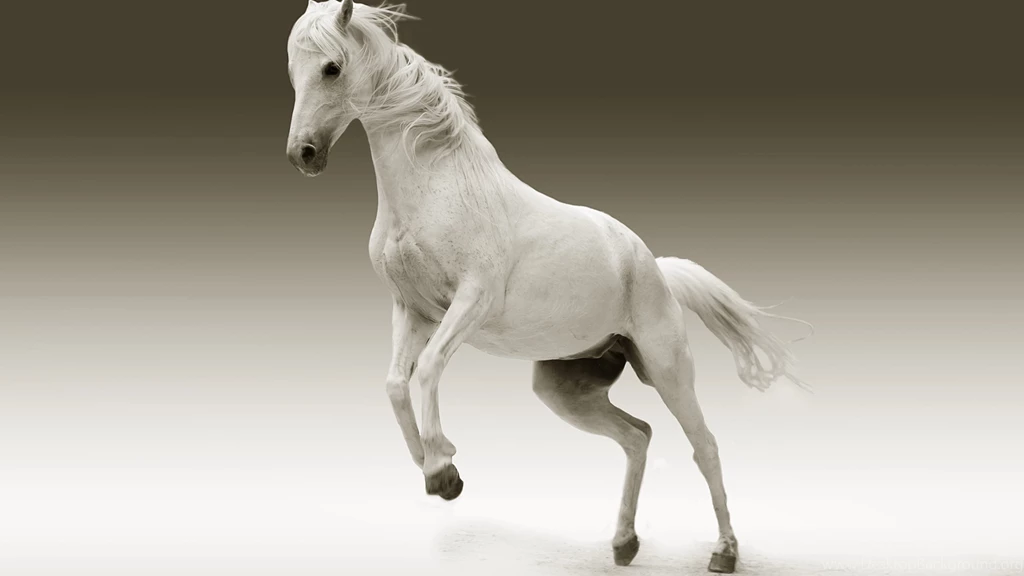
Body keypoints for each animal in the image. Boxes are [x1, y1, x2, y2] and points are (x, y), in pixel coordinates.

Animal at [285, 2, 810, 572]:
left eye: (332, 68)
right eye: (293, 71)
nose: (303, 154)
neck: (437, 188)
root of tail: (654, 268)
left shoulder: (470, 302)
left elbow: (426, 370)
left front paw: (443, 469)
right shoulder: (413, 310)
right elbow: (395, 384)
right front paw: (436, 469)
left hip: (667, 369)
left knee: (705, 446)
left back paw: (724, 551)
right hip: (565, 389)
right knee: (637, 436)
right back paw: (624, 542)